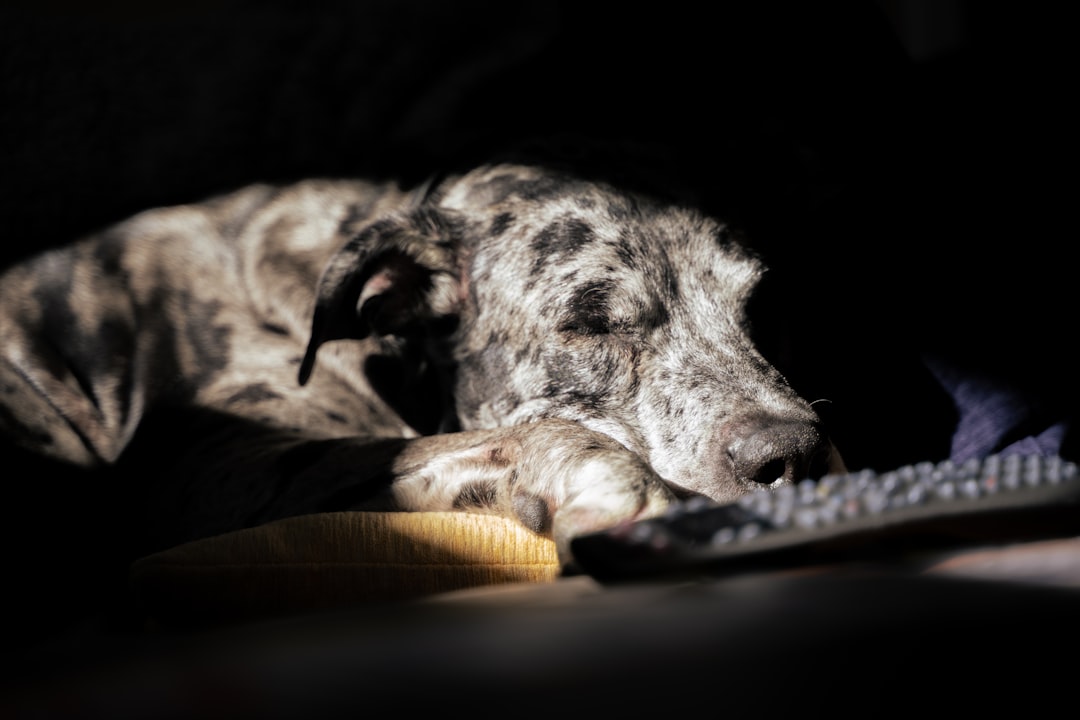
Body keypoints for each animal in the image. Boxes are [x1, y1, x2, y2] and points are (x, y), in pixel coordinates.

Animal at [0, 162, 842, 561]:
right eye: (591, 323)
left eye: (754, 306)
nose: (793, 452)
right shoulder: (214, 465)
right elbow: (463, 444)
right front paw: (606, 477)